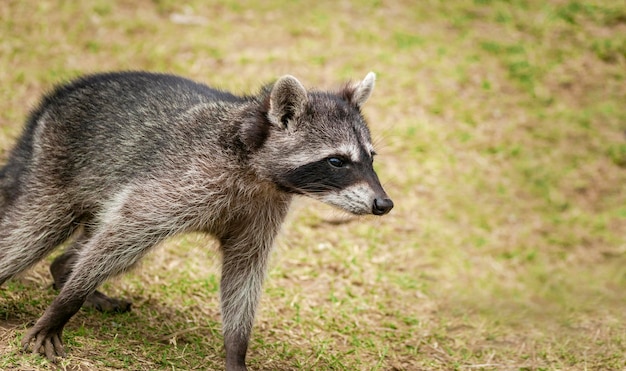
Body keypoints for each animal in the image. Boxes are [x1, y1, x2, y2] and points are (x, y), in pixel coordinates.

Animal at [0, 71, 390, 370]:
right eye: (337, 161)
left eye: (371, 158)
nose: (384, 204)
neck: (256, 169)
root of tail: (57, 98)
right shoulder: (184, 179)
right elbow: (126, 228)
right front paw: (64, 306)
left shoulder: (262, 211)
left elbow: (243, 272)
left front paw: (236, 348)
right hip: (58, 165)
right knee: (34, 234)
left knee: (105, 248)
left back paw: (64, 267)